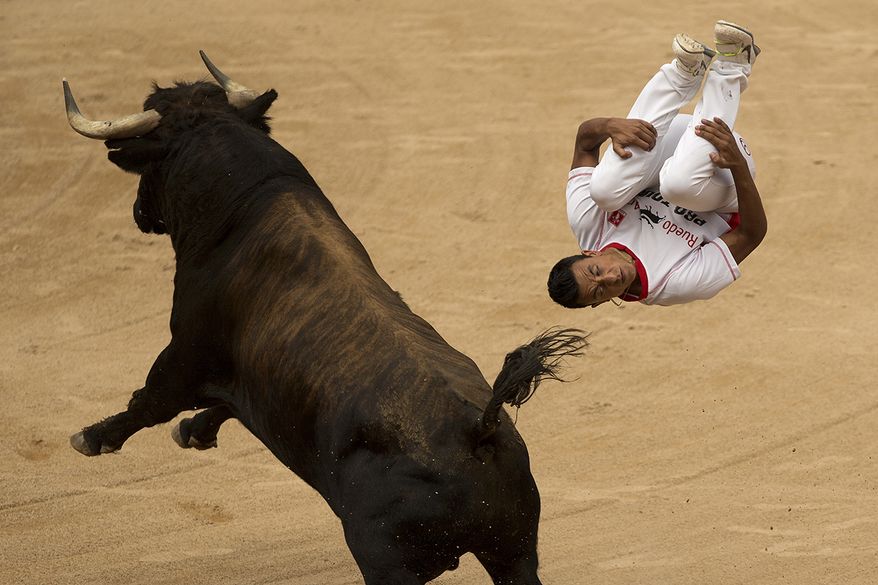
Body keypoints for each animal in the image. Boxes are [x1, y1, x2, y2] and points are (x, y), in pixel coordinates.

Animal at [63, 52, 588, 585]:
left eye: (150, 162)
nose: (139, 213)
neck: (244, 202)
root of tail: (477, 431)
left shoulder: (185, 351)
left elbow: (148, 402)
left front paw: (92, 437)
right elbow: (225, 404)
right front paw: (195, 431)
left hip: (386, 560)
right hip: (515, 553)